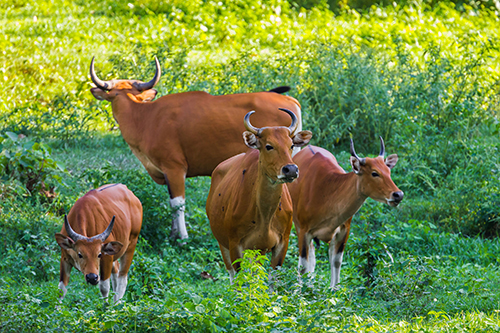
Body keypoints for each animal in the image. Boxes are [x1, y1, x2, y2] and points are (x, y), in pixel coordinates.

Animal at [89, 56, 300, 239]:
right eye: (114, 94)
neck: (145, 117)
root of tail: (291, 101)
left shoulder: (174, 167)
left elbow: (178, 203)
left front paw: (182, 237)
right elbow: (171, 202)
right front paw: (173, 234)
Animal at [205, 108, 310, 280]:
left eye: (291, 145)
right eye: (268, 146)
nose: (291, 169)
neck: (264, 216)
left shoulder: (281, 244)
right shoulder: (235, 244)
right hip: (223, 243)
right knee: (232, 276)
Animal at [288, 137, 404, 288]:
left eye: (388, 172)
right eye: (374, 173)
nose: (398, 194)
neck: (326, 193)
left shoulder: (344, 231)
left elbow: (336, 261)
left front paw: (334, 290)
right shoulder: (303, 230)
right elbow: (302, 265)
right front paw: (303, 291)